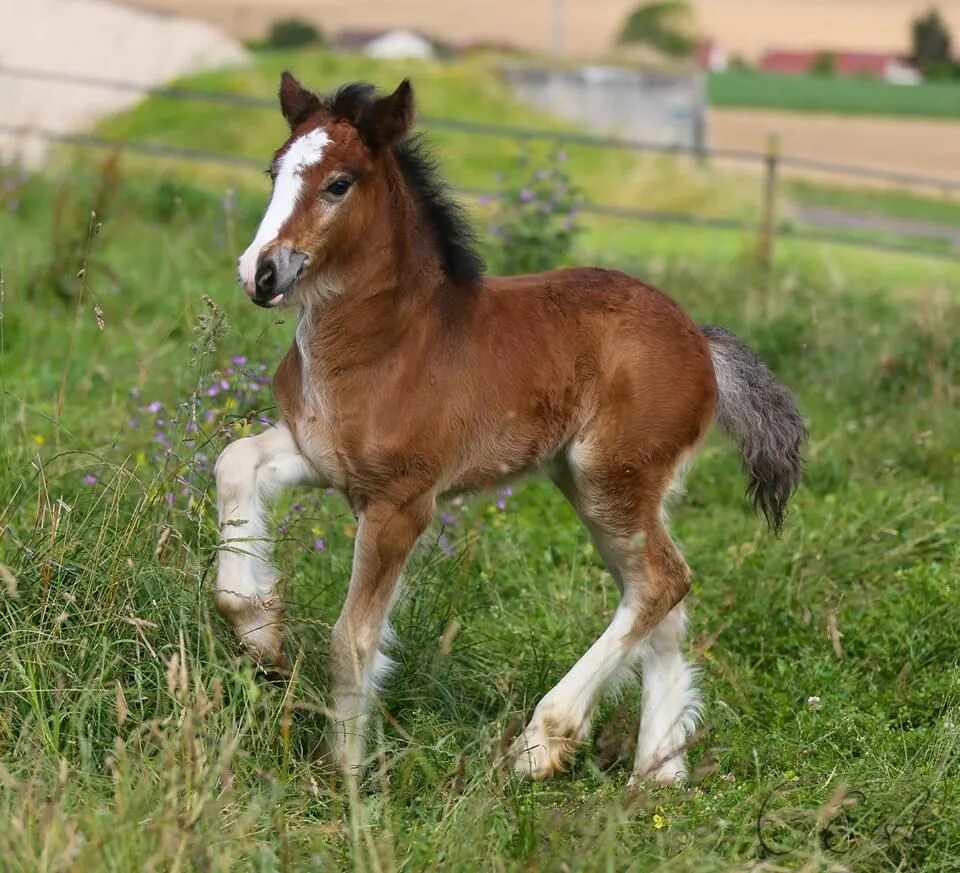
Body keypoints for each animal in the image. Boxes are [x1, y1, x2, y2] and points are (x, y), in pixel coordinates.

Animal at [216, 75, 804, 784]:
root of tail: (701, 340)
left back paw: (541, 743)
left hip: (612, 480)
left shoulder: (401, 501)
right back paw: (657, 773)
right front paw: (261, 634)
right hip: (601, 486)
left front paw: (348, 774)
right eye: (274, 171)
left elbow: (352, 639)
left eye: (339, 184)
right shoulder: (321, 456)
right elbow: (234, 462)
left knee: (663, 582)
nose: (260, 272)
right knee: (661, 595)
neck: (384, 342)